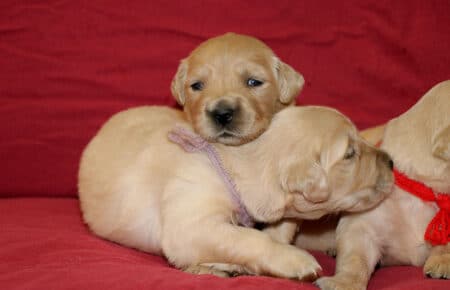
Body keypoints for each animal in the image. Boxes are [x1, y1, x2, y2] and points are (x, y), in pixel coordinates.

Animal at [78, 105, 394, 282]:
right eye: (350, 154)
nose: (391, 161)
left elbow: (276, 231)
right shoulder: (190, 224)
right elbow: (249, 238)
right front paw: (296, 260)